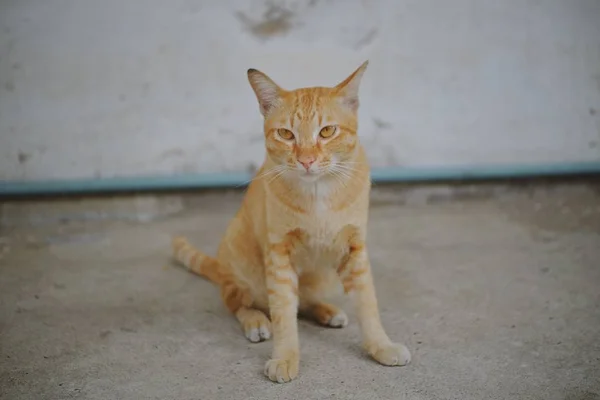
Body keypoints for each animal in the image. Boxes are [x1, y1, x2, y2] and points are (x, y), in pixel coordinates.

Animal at [171, 61, 410, 382]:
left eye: (327, 131)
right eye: (285, 134)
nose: (306, 160)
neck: (319, 192)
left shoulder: (355, 249)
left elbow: (367, 303)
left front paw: (380, 345)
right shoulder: (279, 254)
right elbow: (284, 311)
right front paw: (285, 357)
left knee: (304, 300)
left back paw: (327, 311)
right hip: (239, 263)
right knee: (238, 302)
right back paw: (256, 321)